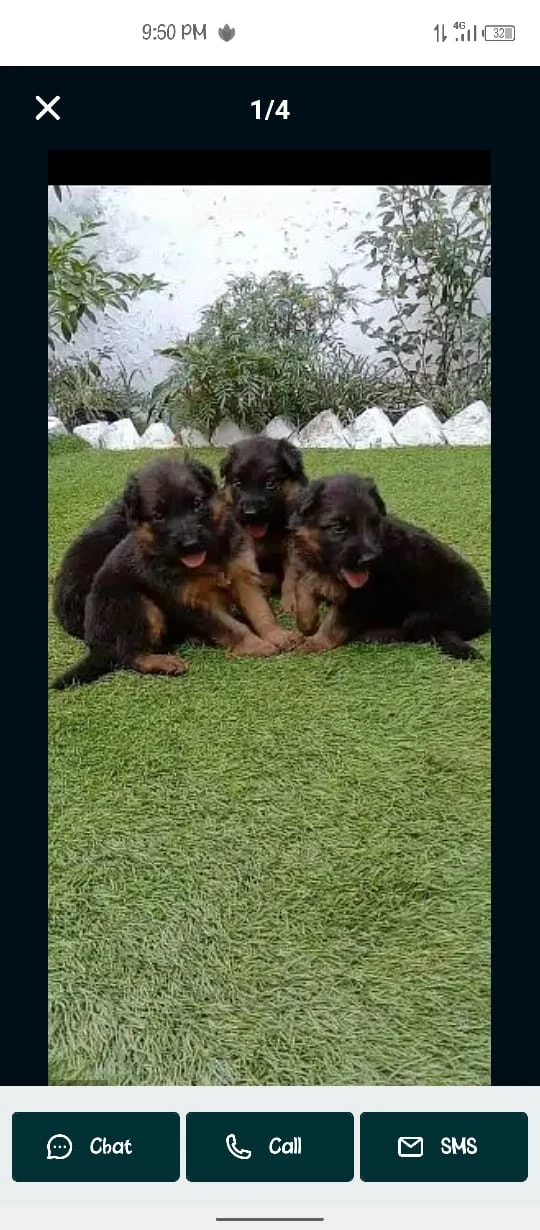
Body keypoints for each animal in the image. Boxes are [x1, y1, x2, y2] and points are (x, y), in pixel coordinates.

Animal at [52, 457, 297, 688]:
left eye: (197, 504)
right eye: (158, 515)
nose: (190, 544)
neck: (209, 559)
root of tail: (96, 644)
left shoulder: (242, 577)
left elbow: (260, 611)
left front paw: (277, 635)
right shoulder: (195, 602)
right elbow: (231, 627)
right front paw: (255, 644)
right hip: (139, 606)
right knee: (127, 655)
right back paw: (164, 662)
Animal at [217, 435, 306, 607]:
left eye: (270, 484)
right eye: (238, 484)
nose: (251, 513)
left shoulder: (291, 544)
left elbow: (291, 574)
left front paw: (289, 601)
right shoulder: (243, 546)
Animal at [289, 472, 492, 664]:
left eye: (373, 523)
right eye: (339, 528)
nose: (369, 559)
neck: (327, 567)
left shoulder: (359, 598)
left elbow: (334, 624)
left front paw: (314, 642)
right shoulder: (311, 569)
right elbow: (303, 588)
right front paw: (307, 623)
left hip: (422, 615)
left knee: (413, 634)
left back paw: (373, 634)